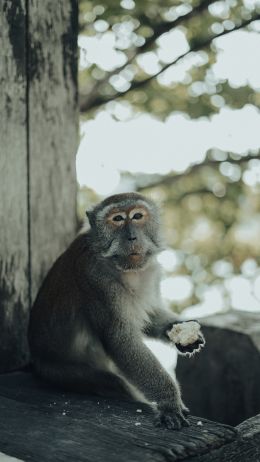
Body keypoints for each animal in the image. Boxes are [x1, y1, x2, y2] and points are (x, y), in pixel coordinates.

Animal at [27, 191, 203, 430]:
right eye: (117, 219)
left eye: (137, 216)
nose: (132, 238)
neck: (124, 269)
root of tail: (37, 361)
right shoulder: (96, 280)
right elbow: (120, 340)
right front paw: (169, 401)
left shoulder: (150, 271)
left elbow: (150, 315)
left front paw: (181, 333)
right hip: (61, 373)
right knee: (114, 382)